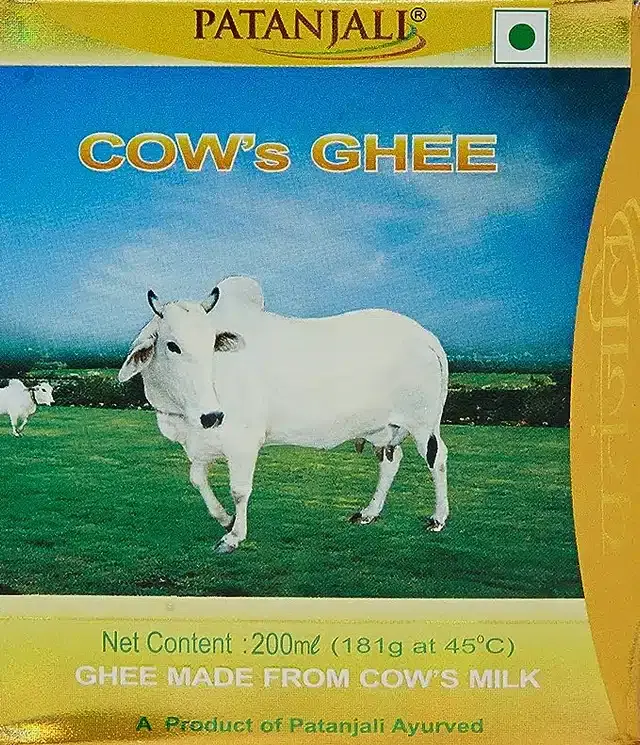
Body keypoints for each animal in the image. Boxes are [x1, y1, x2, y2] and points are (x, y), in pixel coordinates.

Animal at [118, 276, 449, 554]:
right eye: (172, 346)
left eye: (212, 344)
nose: (212, 415)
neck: (181, 414)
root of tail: (425, 335)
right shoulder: (202, 443)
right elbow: (197, 478)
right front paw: (224, 518)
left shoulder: (243, 442)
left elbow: (240, 490)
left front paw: (234, 536)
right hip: (385, 430)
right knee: (390, 462)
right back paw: (369, 513)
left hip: (424, 425)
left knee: (437, 459)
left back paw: (438, 518)